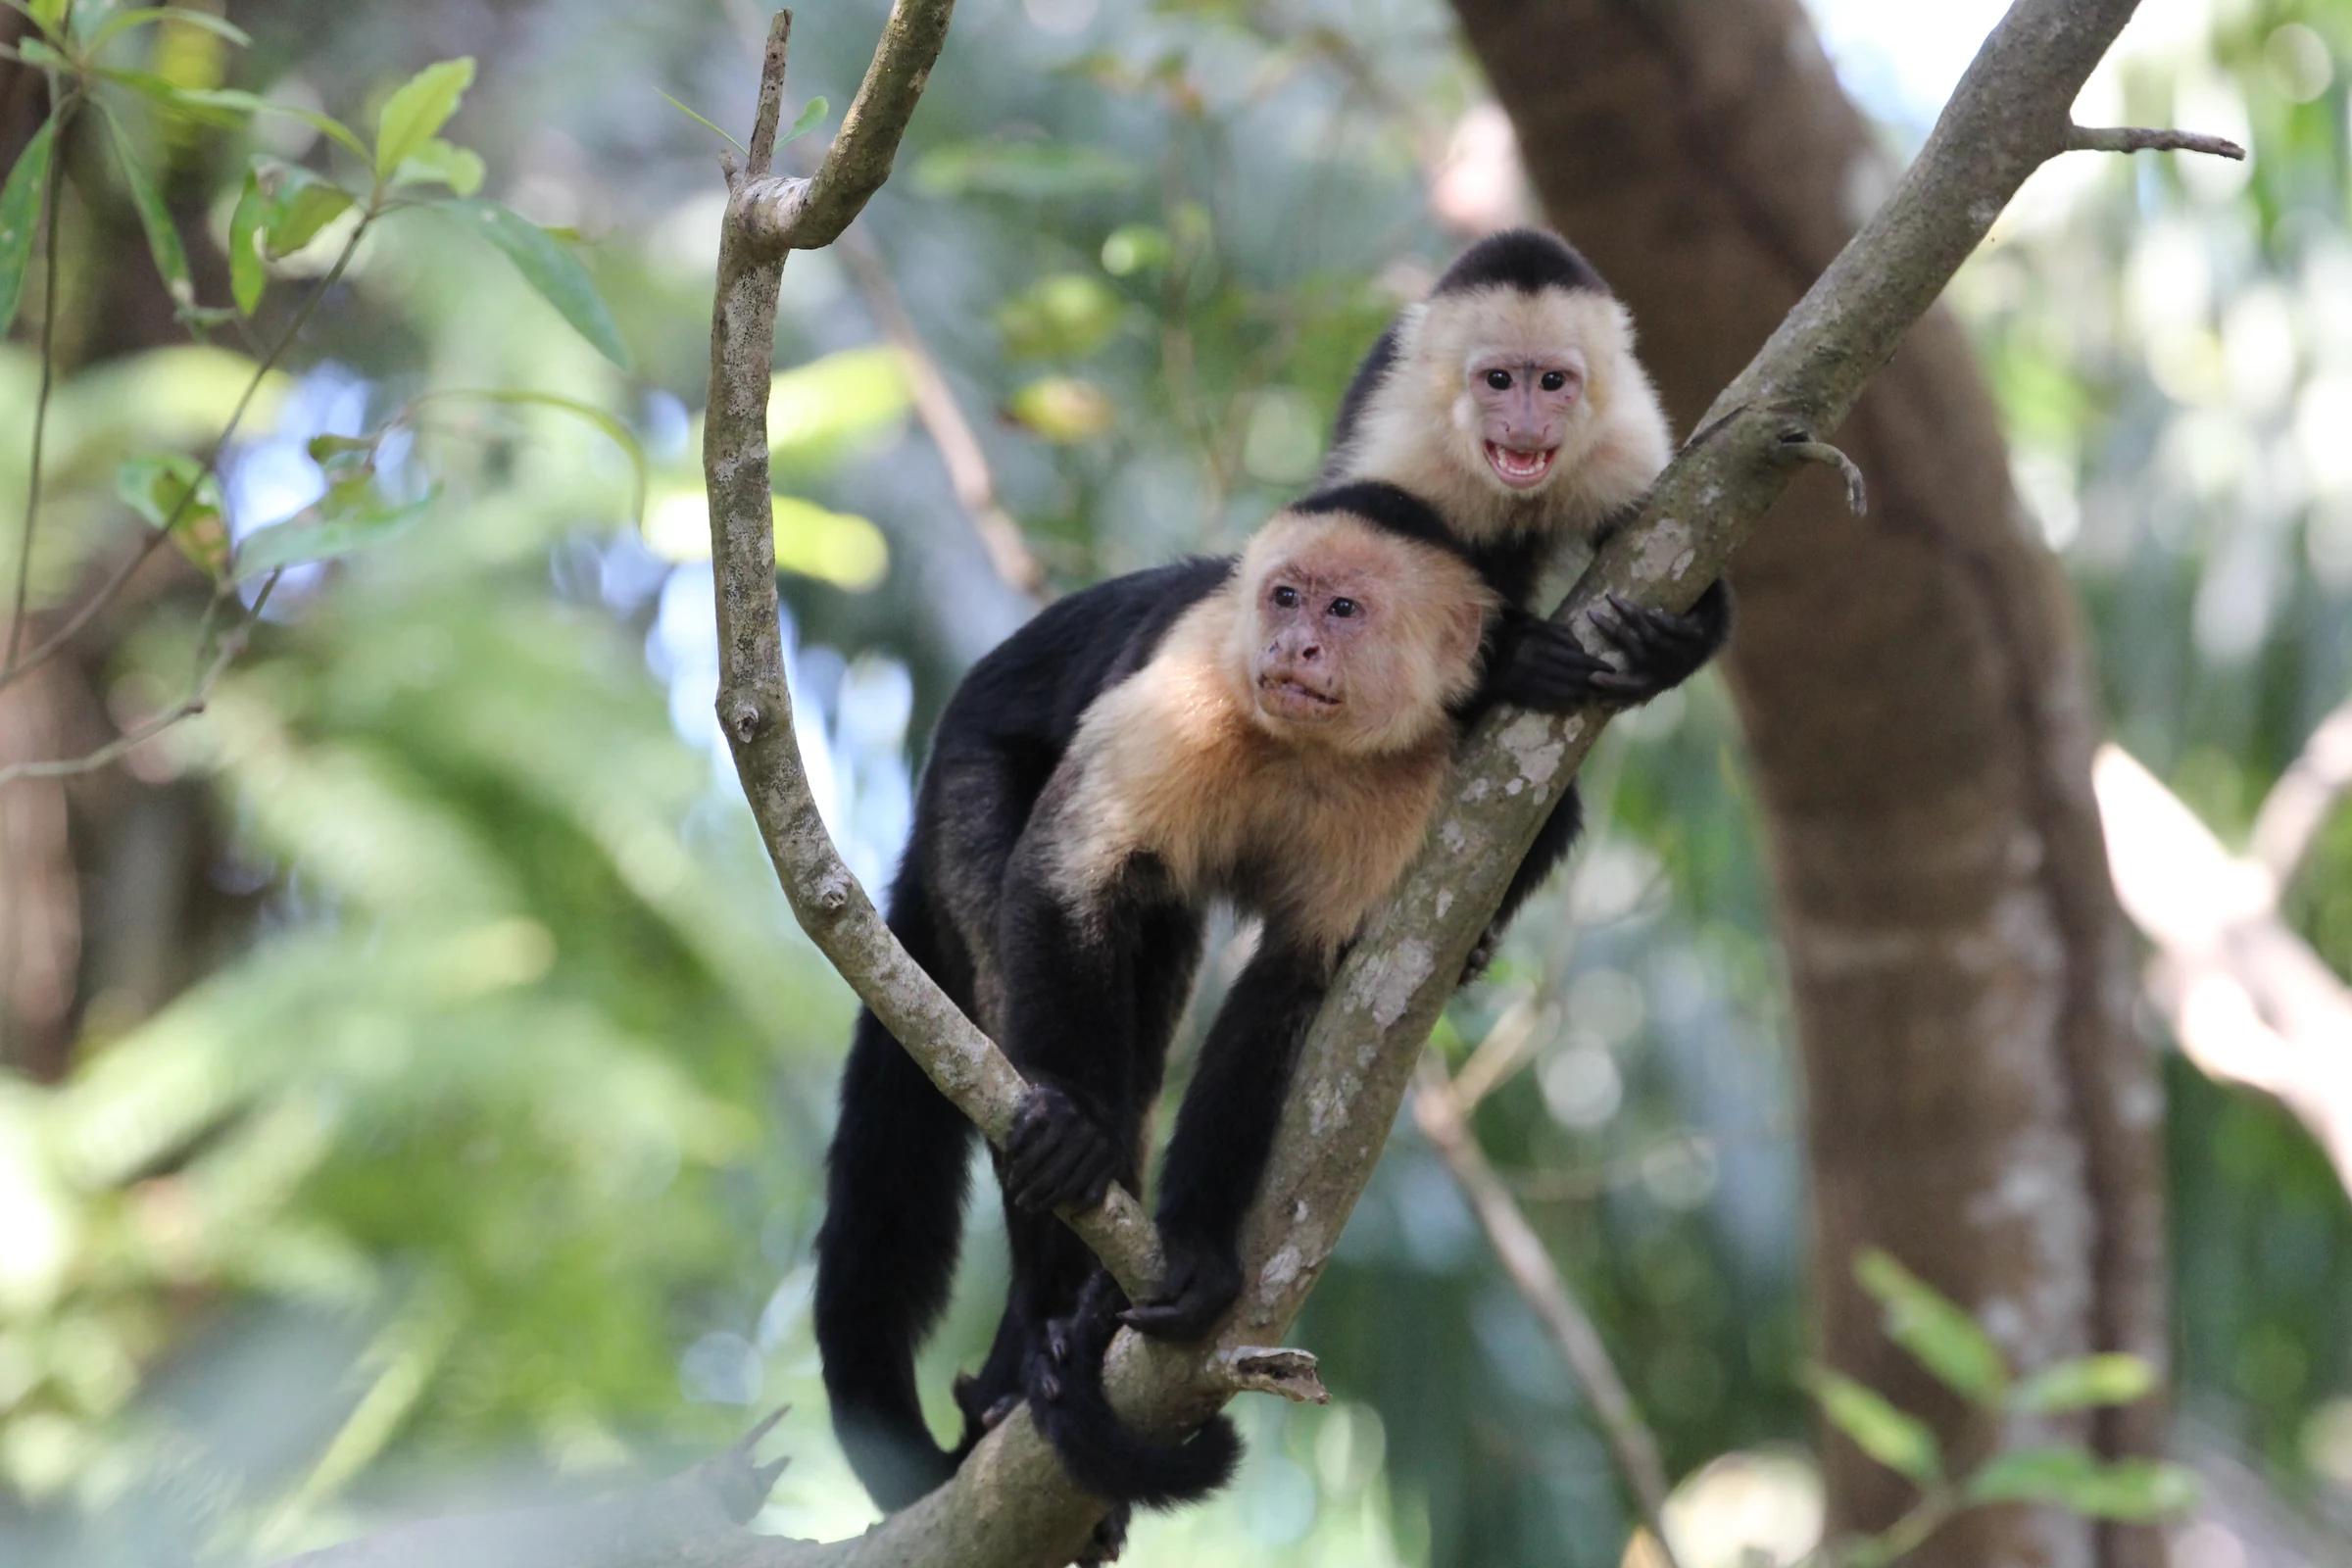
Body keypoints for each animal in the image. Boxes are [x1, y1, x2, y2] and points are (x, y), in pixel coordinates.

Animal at [813, 484, 1501, 1522]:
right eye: (1285, 596)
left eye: (1343, 611)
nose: (1292, 647)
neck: (1303, 743)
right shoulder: (1187, 691)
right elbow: (1065, 873)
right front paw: (1071, 1126)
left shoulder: (1410, 783)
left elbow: (1295, 984)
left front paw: (1198, 1247)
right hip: (966, 774)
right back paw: (1048, 1317)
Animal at [1323, 227, 1733, 969]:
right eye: (1498, 380)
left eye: (1551, 382)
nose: (1525, 426)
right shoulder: (1401, 437)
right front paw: (1516, 658)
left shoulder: (1622, 440)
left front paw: (1680, 642)